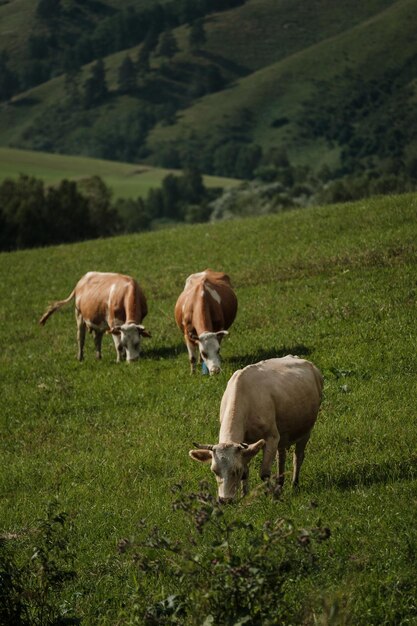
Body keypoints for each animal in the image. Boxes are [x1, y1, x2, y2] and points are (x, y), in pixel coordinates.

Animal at [188, 354, 322, 500]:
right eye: (214, 470)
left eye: (236, 470)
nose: (224, 500)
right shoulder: (246, 445)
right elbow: (246, 472)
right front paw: (244, 495)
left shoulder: (271, 437)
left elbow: (264, 472)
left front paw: (272, 496)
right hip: (283, 433)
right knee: (281, 456)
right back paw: (280, 485)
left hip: (306, 430)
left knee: (298, 456)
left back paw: (294, 484)